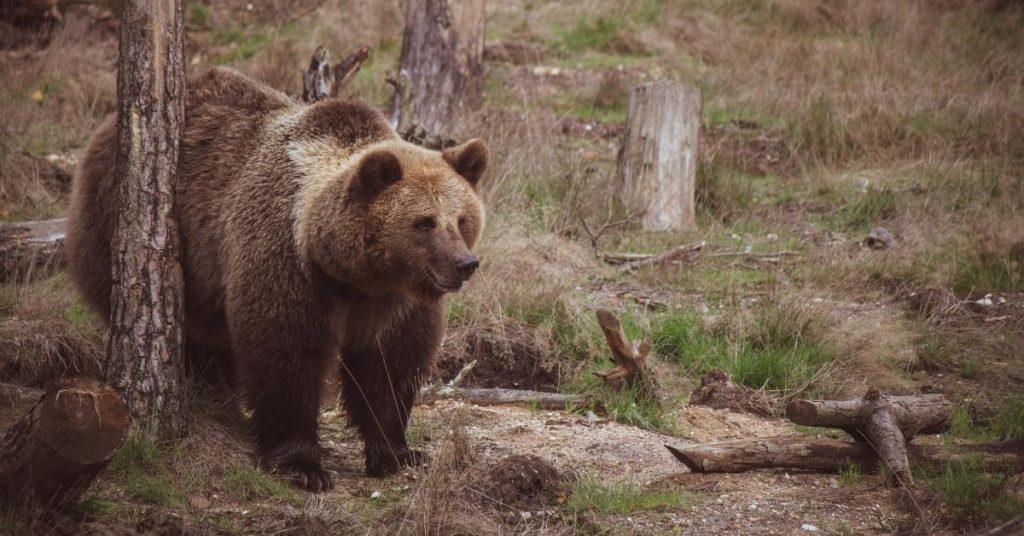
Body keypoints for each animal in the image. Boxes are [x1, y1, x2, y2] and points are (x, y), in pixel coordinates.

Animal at [67, 67, 487, 489]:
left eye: (461, 219)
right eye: (424, 222)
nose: (465, 263)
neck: (352, 273)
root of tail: (105, 130)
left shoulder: (393, 300)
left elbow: (389, 364)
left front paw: (397, 452)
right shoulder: (286, 260)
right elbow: (284, 351)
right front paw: (301, 464)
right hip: (126, 225)